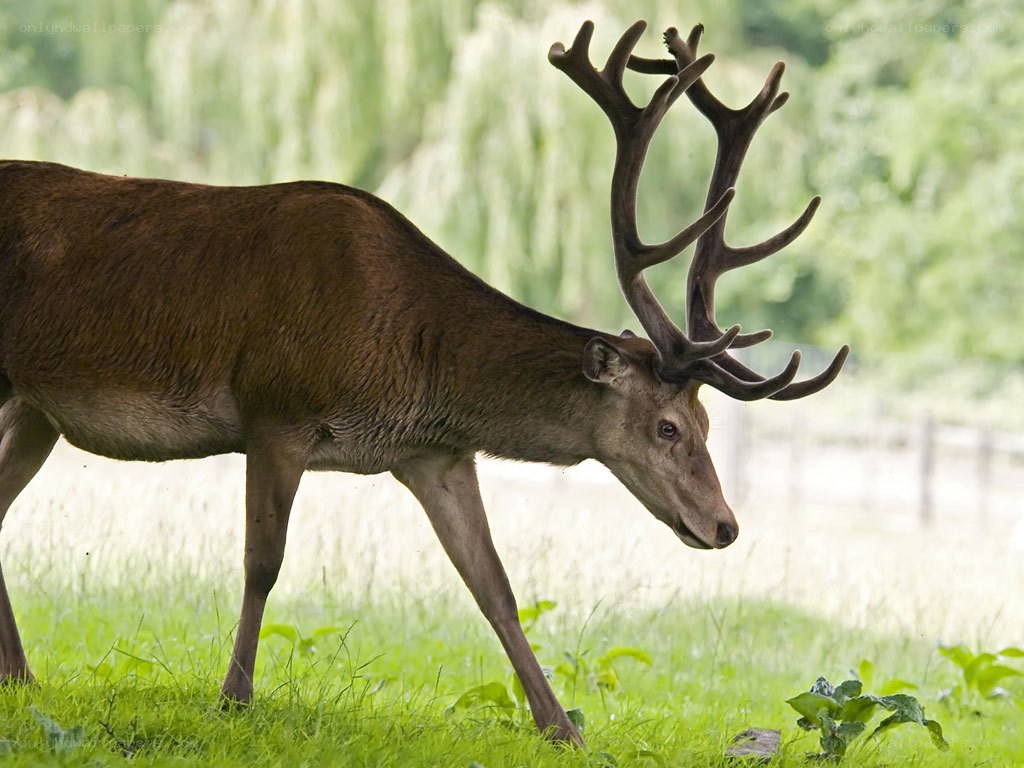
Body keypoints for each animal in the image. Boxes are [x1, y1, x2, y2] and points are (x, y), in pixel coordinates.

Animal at [0, 19, 847, 745]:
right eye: (667, 427)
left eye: (707, 426)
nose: (725, 526)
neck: (406, 363)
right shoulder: (275, 411)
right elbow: (263, 563)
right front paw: (234, 698)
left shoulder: (436, 456)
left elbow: (495, 586)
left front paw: (562, 728)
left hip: (38, 409)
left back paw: (24, 678)